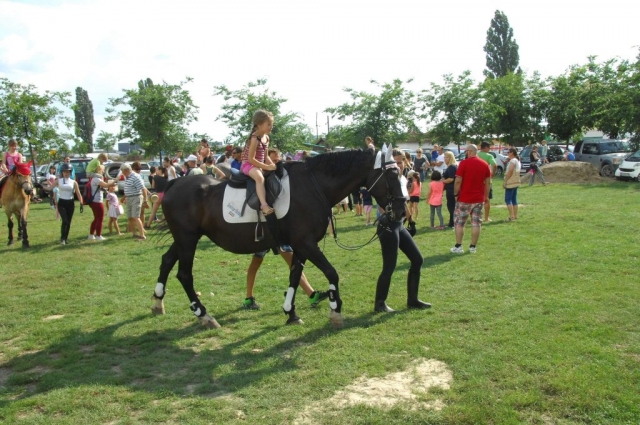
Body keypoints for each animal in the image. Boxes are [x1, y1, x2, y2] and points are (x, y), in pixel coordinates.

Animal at [151, 148, 404, 328]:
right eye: (392, 175)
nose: (401, 211)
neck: (313, 187)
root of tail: (174, 183)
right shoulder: (306, 243)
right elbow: (332, 273)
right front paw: (335, 309)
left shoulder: (300, 246)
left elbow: (294, 276)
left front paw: (291, 312)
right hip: (188, 240)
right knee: (184, 275)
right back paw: (204, 315)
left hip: (184, 240)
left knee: (166, 261)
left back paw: (157, 302)